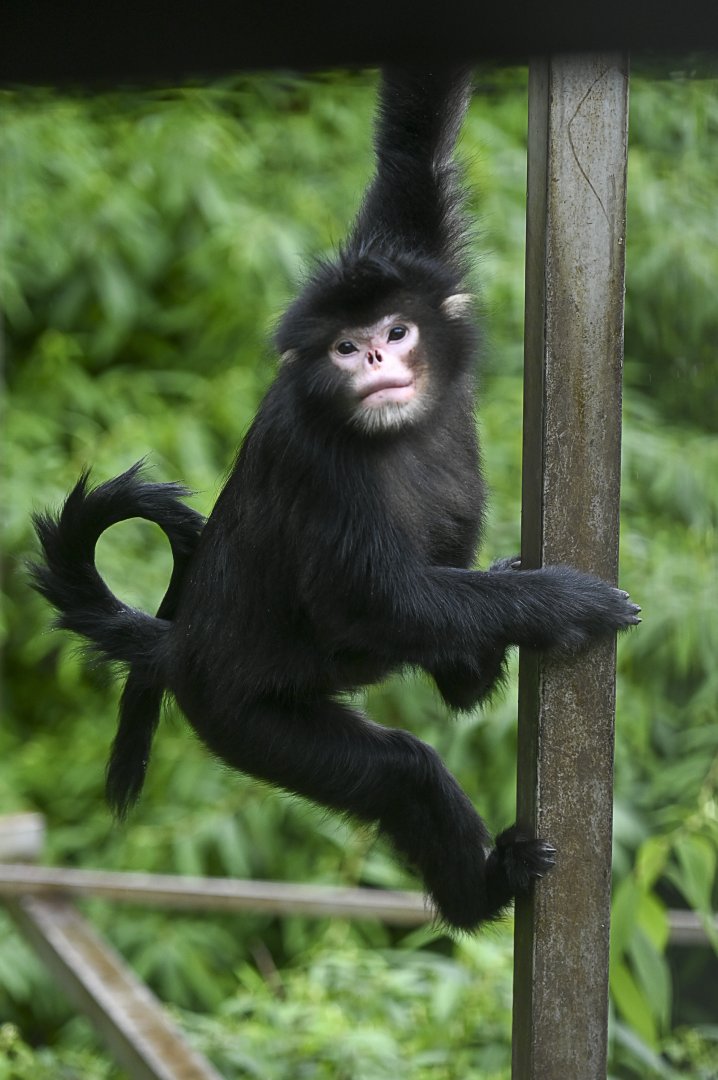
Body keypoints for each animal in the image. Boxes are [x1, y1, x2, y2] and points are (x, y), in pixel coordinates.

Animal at [30, 68, 640, 932]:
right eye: (347, 346)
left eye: (395, 329)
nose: (377, 359)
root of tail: (179, 649)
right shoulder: (319, 459)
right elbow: (368, 602)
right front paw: (566, 602)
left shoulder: (408, 253)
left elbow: (413, 147)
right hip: (243, 716)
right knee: (401, 773)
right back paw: (487, 887)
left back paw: (472, 671)